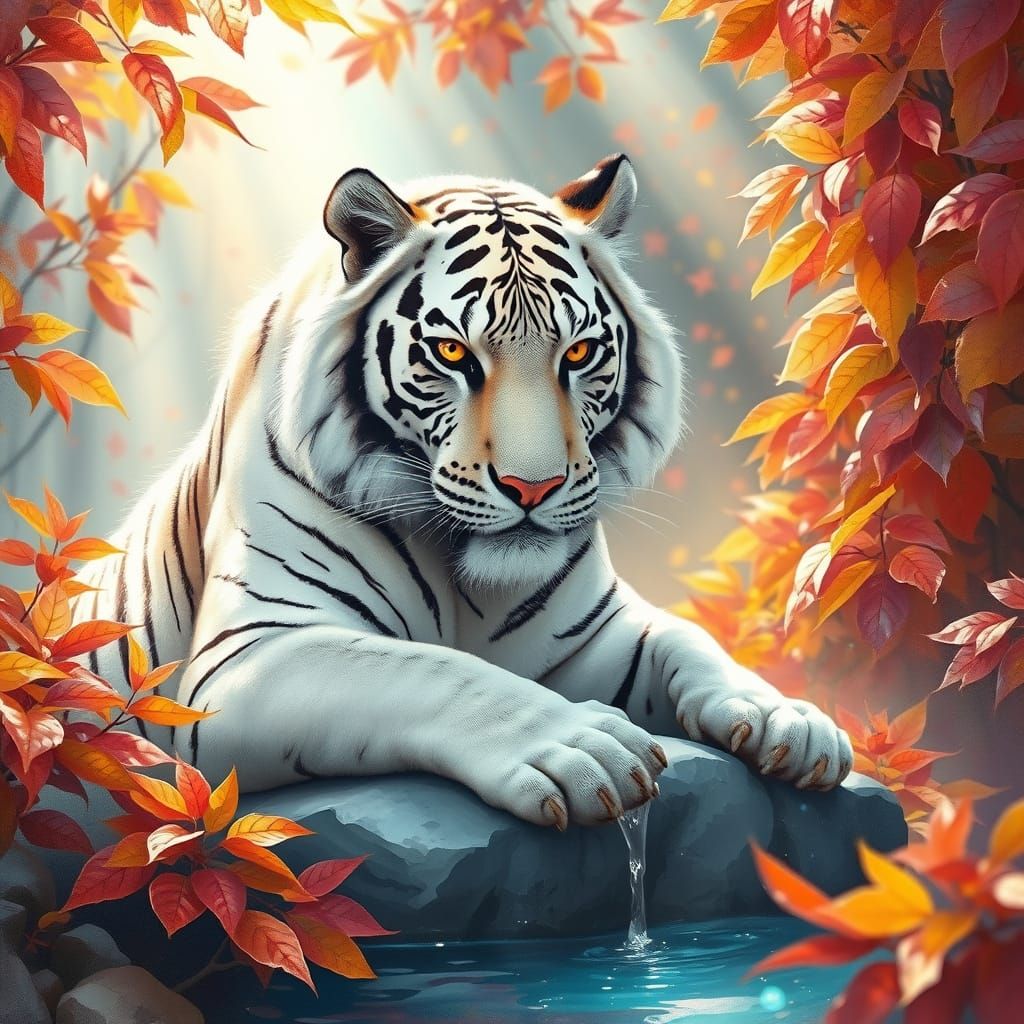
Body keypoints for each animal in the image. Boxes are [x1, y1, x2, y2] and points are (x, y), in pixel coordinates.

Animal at [79, 154, 853, 829]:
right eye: (453, 353)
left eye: (579, 353)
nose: (533, 486)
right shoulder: (248, 652)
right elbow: (426, 669)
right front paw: (585, 746)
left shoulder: (595, 633)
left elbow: (688, 639)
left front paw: (788, 719)